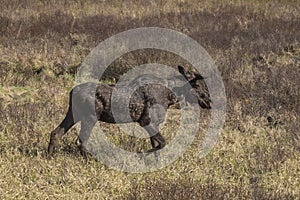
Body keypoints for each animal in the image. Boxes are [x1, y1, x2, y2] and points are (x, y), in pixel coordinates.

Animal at [48, 65, 211, 158]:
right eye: (198, 85)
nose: (209, 101)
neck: (171, 96)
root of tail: (72, 92)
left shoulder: (154, 124)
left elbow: (157, 146)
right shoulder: (145, 121)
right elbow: (161, 144)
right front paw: (140, 155)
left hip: (73, 114)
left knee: (56, 133)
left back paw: (50, 157)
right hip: (90, 117)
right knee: (80, 142)